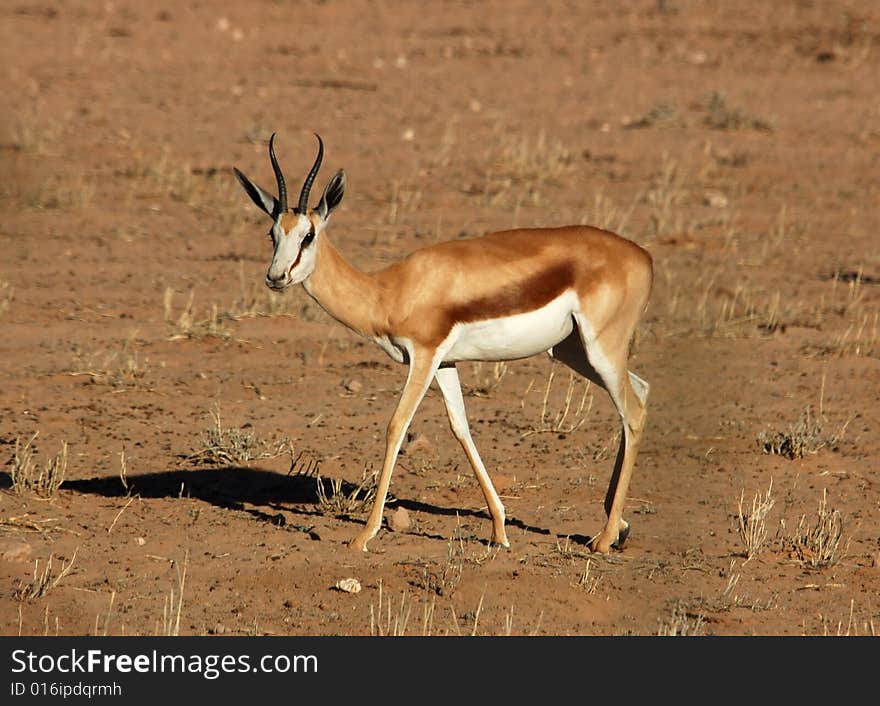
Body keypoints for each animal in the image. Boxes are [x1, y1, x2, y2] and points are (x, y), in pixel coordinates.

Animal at [234, 131, 652, 552]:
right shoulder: (445, 362)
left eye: (308, 235)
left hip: (600, 348)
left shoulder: (424, 355)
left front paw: (364, 535)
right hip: (573, 351)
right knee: (641, 390)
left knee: (631, 410)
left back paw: (604, 538)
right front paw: (500, 531)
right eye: (273, 234)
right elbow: (460, 427)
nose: (276, 277)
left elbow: (397, 425)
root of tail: (643, 256)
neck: (388, 291)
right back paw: (618, 525)